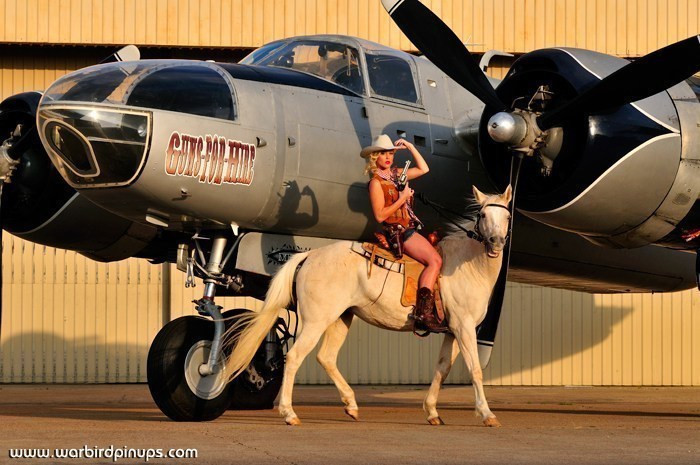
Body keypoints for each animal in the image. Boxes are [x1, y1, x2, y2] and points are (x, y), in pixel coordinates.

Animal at [226, 184, 516, 424]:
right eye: (482, 215)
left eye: (507, 217)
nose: (496, 242)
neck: (466, 265)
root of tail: (310, 256)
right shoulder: (464, 328)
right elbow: (475, 369)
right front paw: (487, 414)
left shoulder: (452, 332)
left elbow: (442, 369)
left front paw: (433, 412)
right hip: (315, 322)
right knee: (295, 357)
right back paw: (289, 413)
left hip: (341, 318)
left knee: (326, 357)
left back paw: (351, 405)